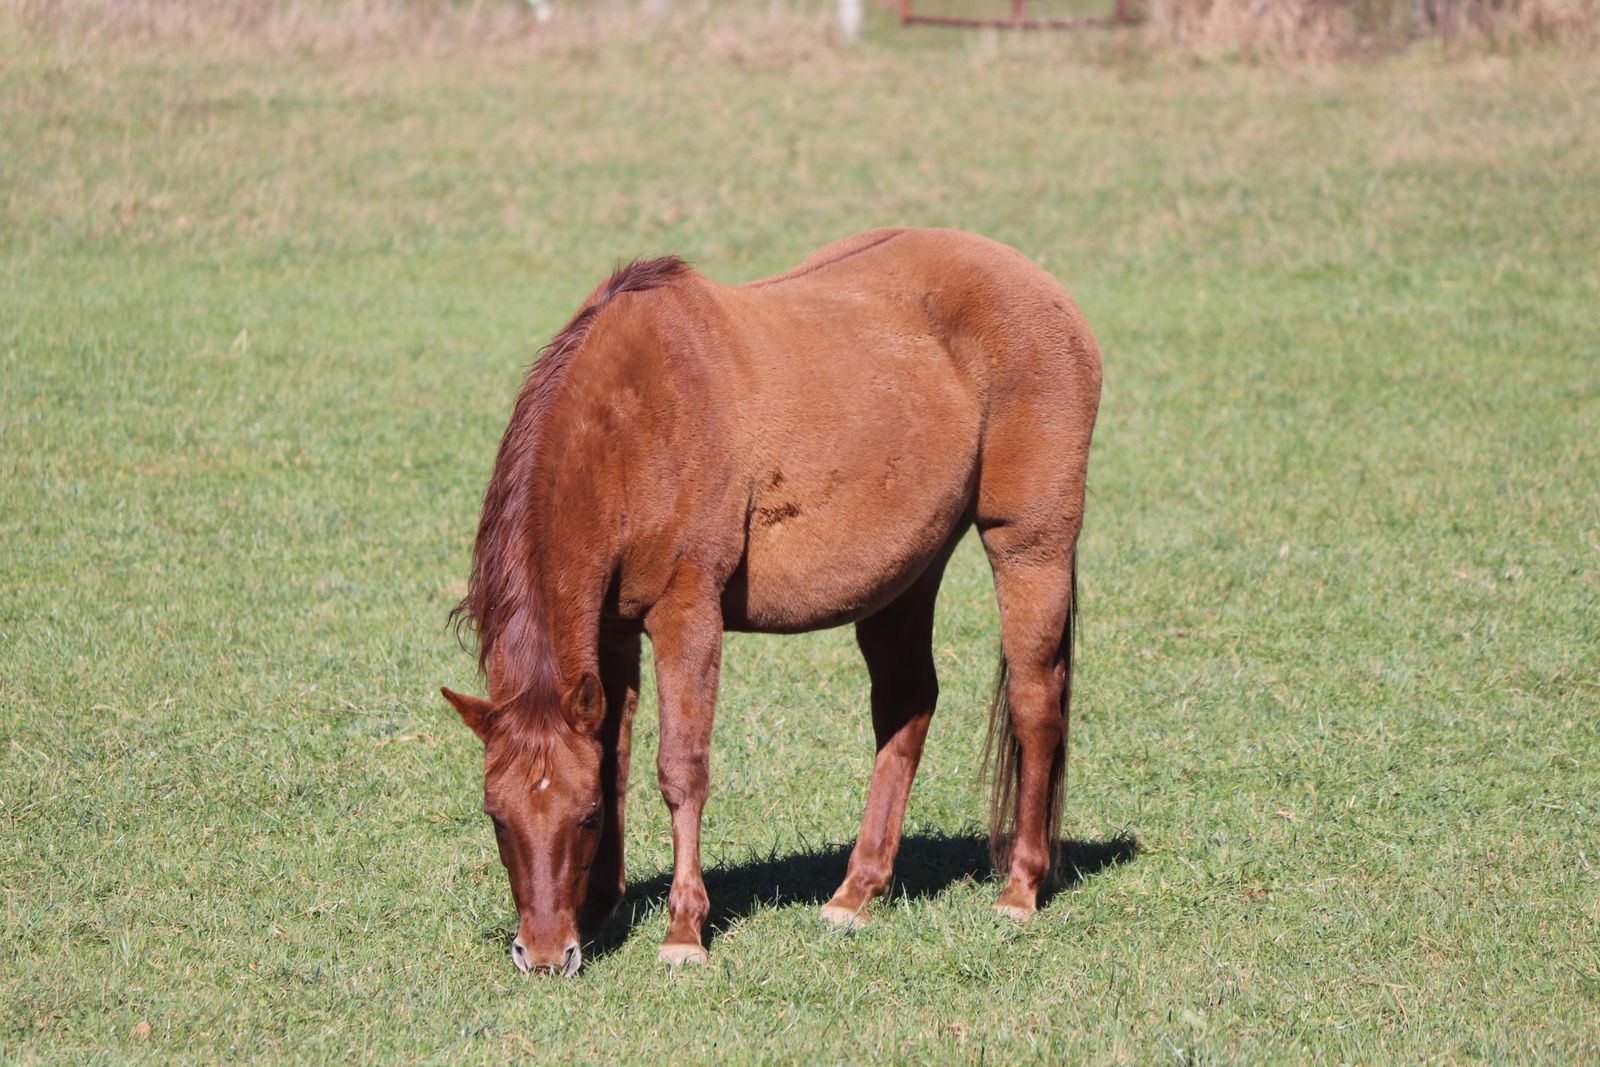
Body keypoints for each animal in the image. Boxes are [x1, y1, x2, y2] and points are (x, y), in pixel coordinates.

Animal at [443, 228, 1101, 975]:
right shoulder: (610, 632)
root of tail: (1045, 290)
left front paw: (683, 931)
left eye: (581, 817)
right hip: (908, 572)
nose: (546, 955)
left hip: (1029, 548)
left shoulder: (686, 611)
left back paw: (1020, 888)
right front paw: (603, 909)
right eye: (497, 816)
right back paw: (855, 893)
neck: (633, 418)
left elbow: (681, 770)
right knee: (907, 706)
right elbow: (615, 758)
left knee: (1034, 706)